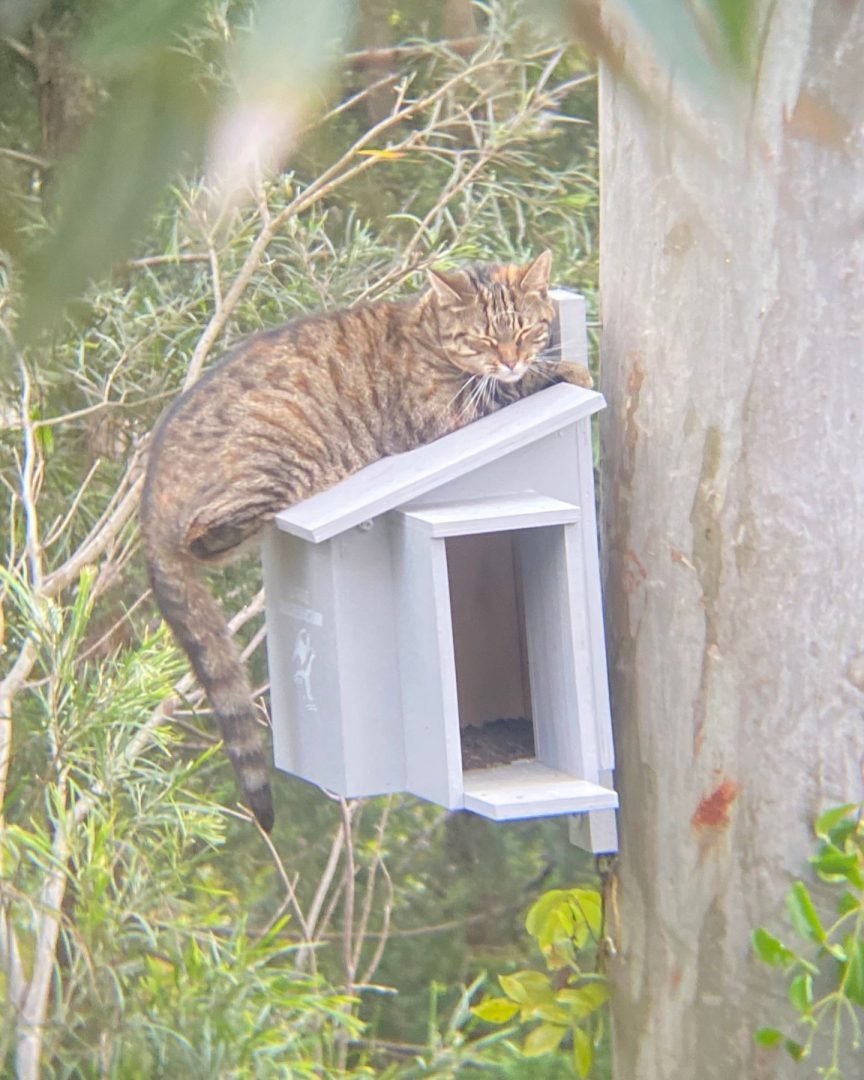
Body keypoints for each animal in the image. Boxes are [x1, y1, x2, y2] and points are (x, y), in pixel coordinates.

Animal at [138, 248, 596, 829]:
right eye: (483, 339)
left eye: (524, 329)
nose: (512, 359)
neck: (426, 331)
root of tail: (148, 502)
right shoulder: (450, 413)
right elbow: (515, 392)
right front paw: (565, 370)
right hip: (271, 463)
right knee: (205, 534)